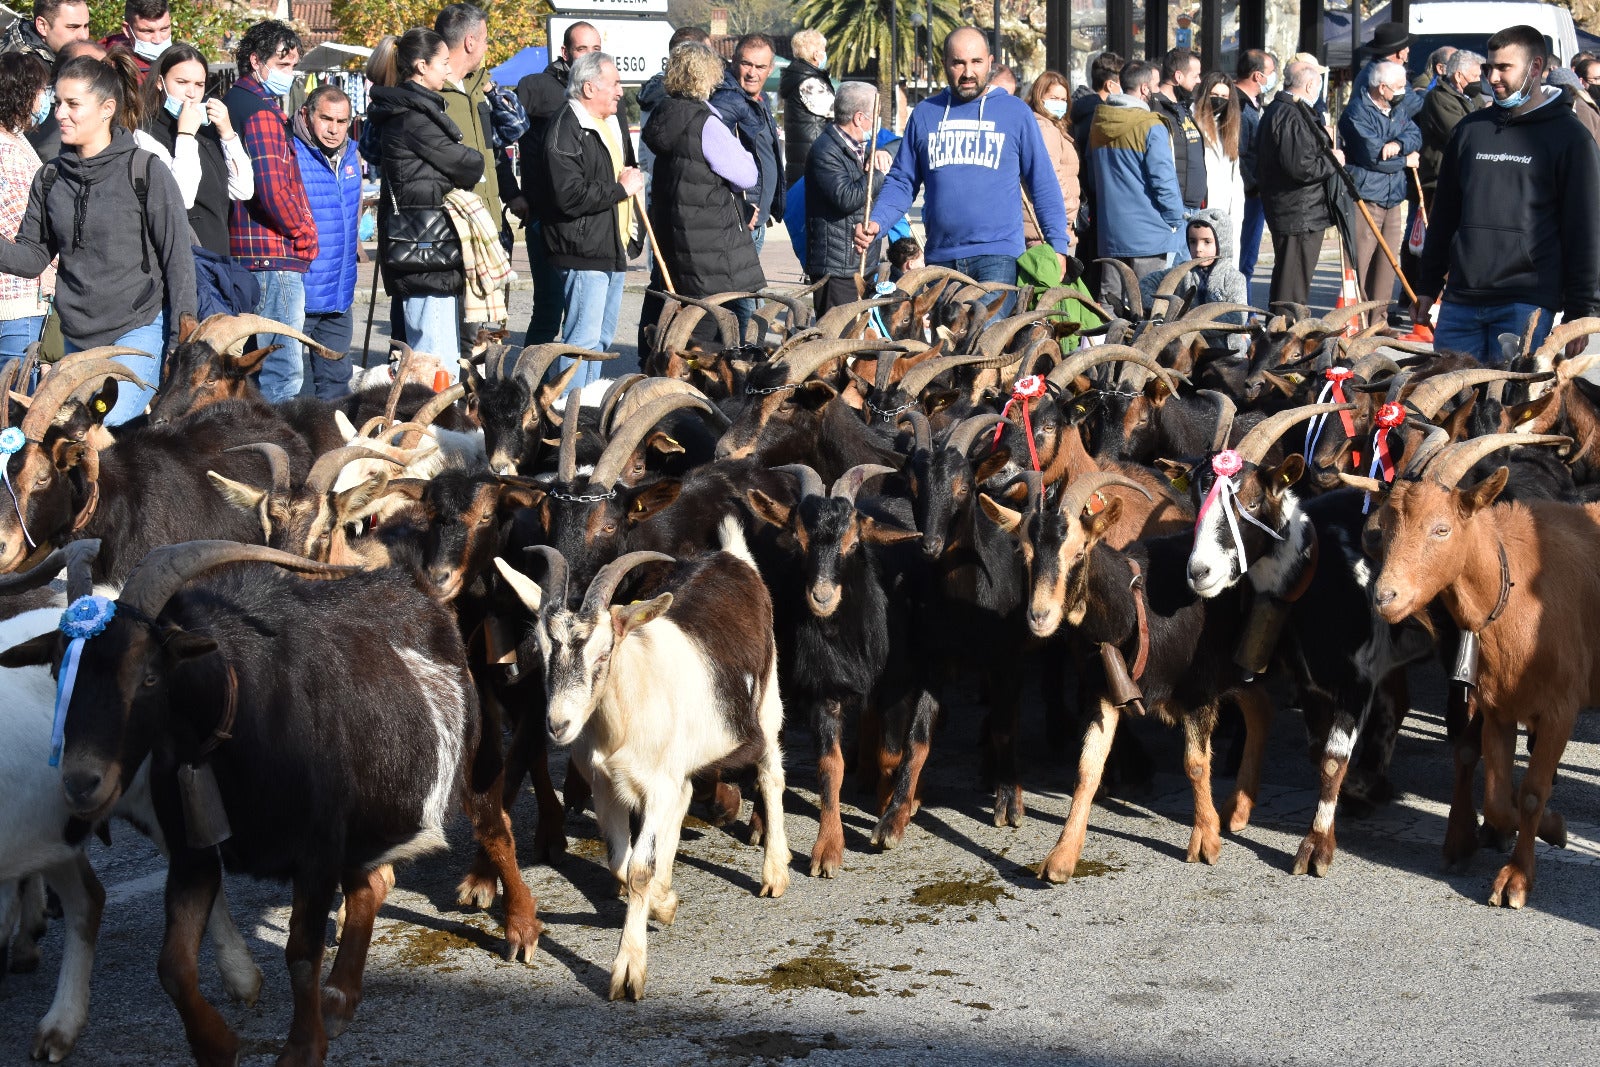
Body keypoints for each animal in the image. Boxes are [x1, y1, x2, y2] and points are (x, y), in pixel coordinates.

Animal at [486, 518, 787, 1004]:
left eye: (605, 652)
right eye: (543, 652)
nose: (558, 724)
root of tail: (733, 557)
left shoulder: (657, 782)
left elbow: (639, 869)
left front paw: (628, 971)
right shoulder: (605, 785)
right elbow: (620, 863)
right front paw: (664, 903)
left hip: (767, 699)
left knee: (770, 773)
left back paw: (775, 873)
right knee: (685, 797)